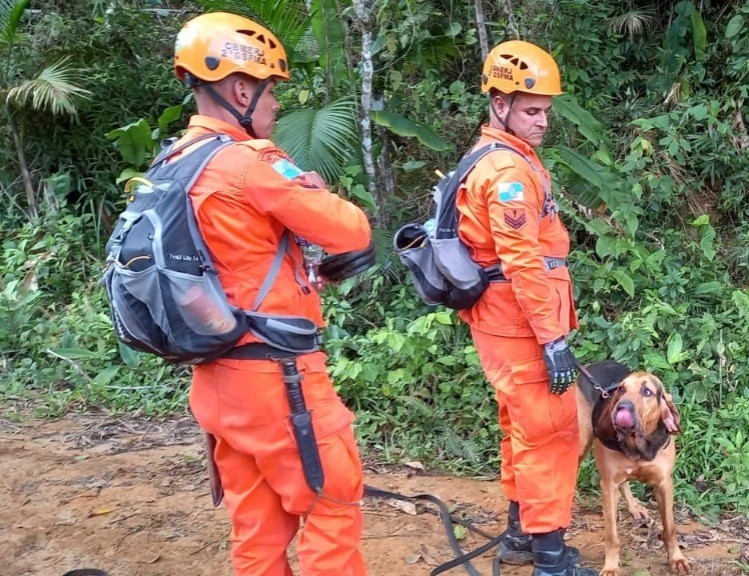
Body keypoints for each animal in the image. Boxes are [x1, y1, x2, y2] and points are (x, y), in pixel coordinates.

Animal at [580, 362, 688, 572]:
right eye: (621, 389)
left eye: (647, 391)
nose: (622, 407)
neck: (637, 446)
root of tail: (595, 363)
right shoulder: (608, 485)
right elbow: (612, 536)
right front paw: (611, 567)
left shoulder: (664, 483)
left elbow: (670, 529)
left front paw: (677, 558)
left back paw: (635, 508)